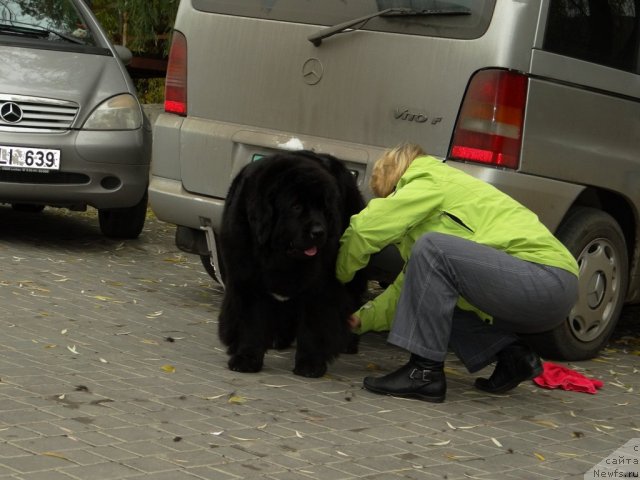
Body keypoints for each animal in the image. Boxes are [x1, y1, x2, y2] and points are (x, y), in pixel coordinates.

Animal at [220, 152, 368, 376]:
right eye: (296, 207)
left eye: (324, 208)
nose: (319, 232)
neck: (277, 255)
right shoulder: (248, 280)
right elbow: (251, 322)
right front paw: (247, 358)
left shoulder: (320, 287)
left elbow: (313, 326)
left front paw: (310, 364)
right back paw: (277, 338)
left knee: (354, 299)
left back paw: (349, 342)